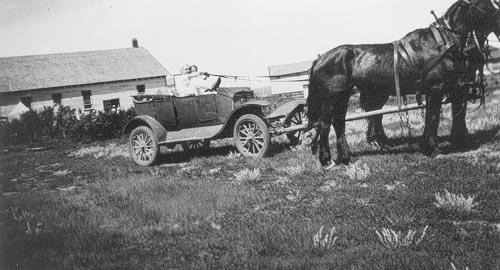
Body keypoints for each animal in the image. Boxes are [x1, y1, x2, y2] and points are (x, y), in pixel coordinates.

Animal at [306, 0, 500, 167]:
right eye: (491, 3)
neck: (443, 43)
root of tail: (319, 60)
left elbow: (434, 116)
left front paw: (429, 145)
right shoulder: (436, 87)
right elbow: (433, 117)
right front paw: (433, 149)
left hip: (343, 96)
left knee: (338, 122)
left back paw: (346, 156)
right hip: (331, 98)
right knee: (324, 125)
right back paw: (326, 160)